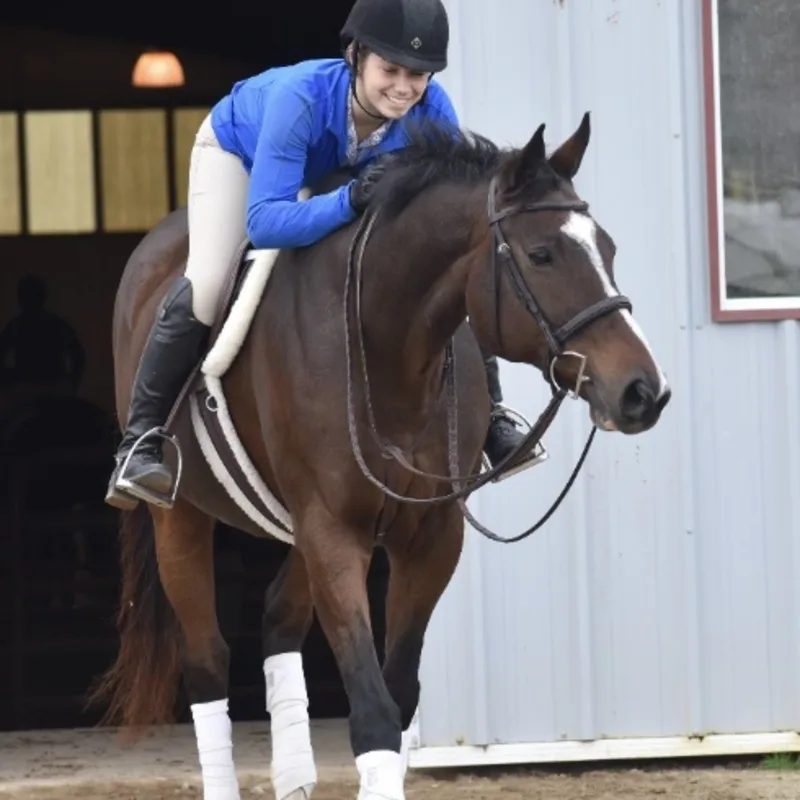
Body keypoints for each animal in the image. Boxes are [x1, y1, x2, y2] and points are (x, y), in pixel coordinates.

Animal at [90, 113, 671, 800]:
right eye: (542, 255)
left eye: (607, 248)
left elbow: (399, 695)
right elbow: (372, 711)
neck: (388, 349)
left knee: (279, 621)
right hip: (181, 517)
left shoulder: (430, 536)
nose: (644, 392)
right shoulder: (333, 532)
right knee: (207, 661)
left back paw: (295, 779)